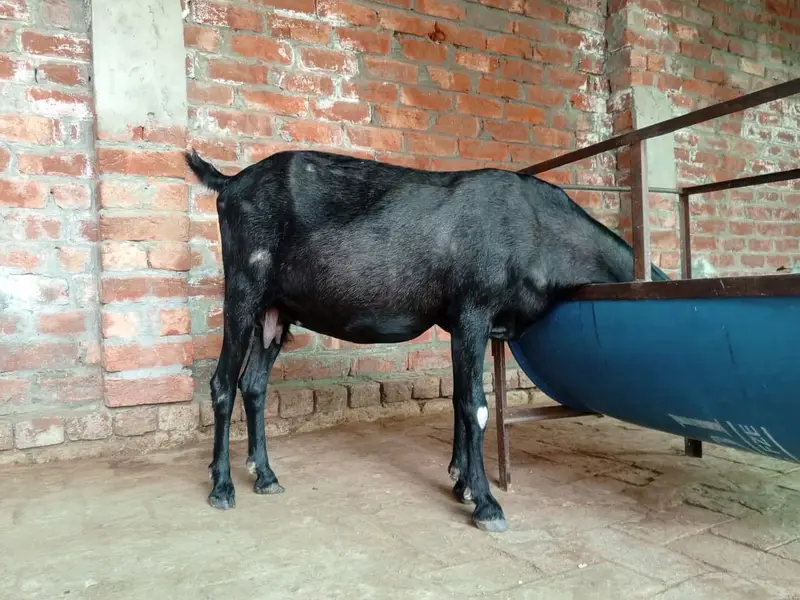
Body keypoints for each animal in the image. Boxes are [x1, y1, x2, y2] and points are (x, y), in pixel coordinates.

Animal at [185, 149, 668, 533]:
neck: (536, 226)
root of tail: (229, 183)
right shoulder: (474, 309)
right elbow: (475, 405)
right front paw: (486, 503)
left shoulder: (463, 324)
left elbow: (458, 399)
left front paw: (461, 483)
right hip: (244, 288)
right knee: (223, 384)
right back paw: (223, 486)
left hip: (276, 311)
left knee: (254, 384)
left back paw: (265, 476)